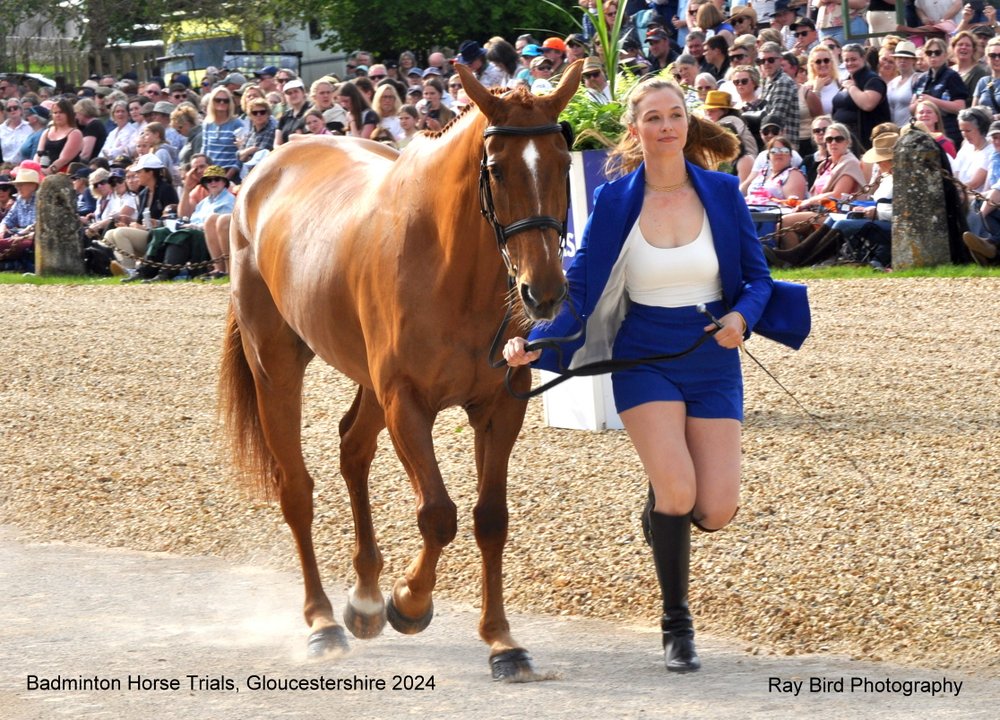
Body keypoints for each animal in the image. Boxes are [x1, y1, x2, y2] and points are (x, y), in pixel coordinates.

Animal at [218, 60, 583, 681]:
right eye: (497, 170)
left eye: (563, 163)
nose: (545, 292)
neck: (452, 267)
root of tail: (260, 172)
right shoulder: (406, 402)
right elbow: (438, 514)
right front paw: (410, 602)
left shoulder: (498, 406)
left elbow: (490, 518)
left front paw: (502, 641)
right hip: (277, 365)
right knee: (297, 489)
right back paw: (323, 622)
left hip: (365, 379)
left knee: (352, 447)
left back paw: (364, 599)